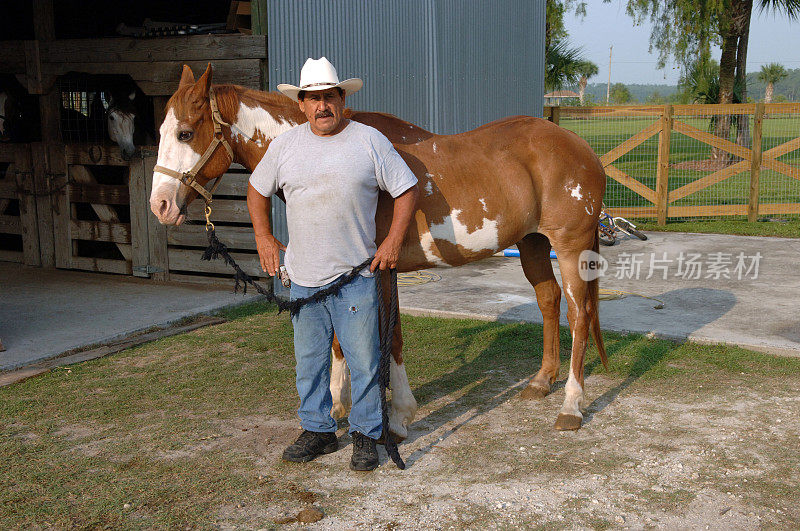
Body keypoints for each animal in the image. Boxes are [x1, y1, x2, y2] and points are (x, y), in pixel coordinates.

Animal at [148, 65, 608, 440]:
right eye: (159, 133)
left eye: (185, 133)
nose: (161, 206)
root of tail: (581, 147)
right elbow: (341, 338)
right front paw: (338, 405)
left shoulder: (381, 269)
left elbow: (392, 338)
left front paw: (400, 417)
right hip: (533, 243)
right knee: (548, 300)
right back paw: (540, 382)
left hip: (570, 247)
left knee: (578, 314)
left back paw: (571, 406)